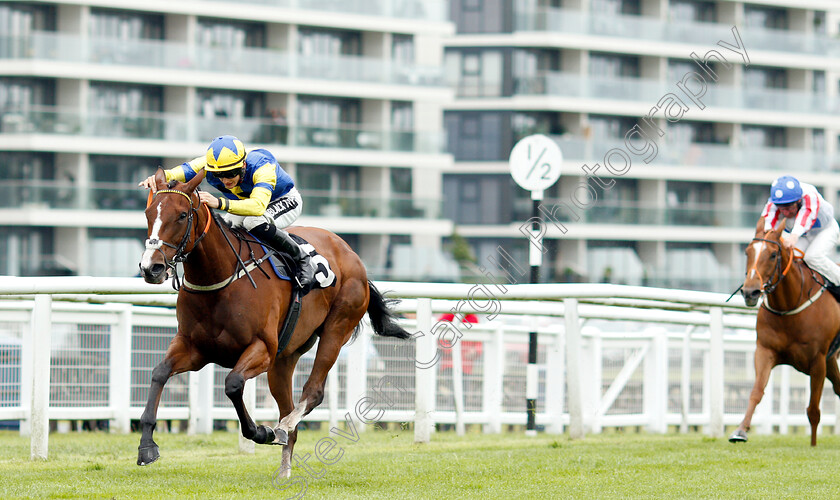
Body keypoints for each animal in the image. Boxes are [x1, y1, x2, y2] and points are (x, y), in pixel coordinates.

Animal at [136, 168, 408, 472]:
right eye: (148, 213)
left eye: (182, 215)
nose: (151, 268)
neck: (220, 279)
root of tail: (351, 253)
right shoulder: (194, 348)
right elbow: (159, 372)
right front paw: (147, 446)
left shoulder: (262, 348)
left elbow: (233, 384)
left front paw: (261, 431)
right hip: (285, 357)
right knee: (290, 411)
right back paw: (284, 470)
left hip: (337, 328)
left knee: (312, 393)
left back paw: (281, 428)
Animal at [732, 219, 840, 446]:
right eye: (747, 252)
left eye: (773, 254)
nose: (750, 292)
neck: (790, 306)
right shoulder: (764, 350)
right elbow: (756, 391)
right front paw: (740, 431)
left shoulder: (818, 360)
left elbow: (813, 410)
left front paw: (813, 445)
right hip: (832, 360)